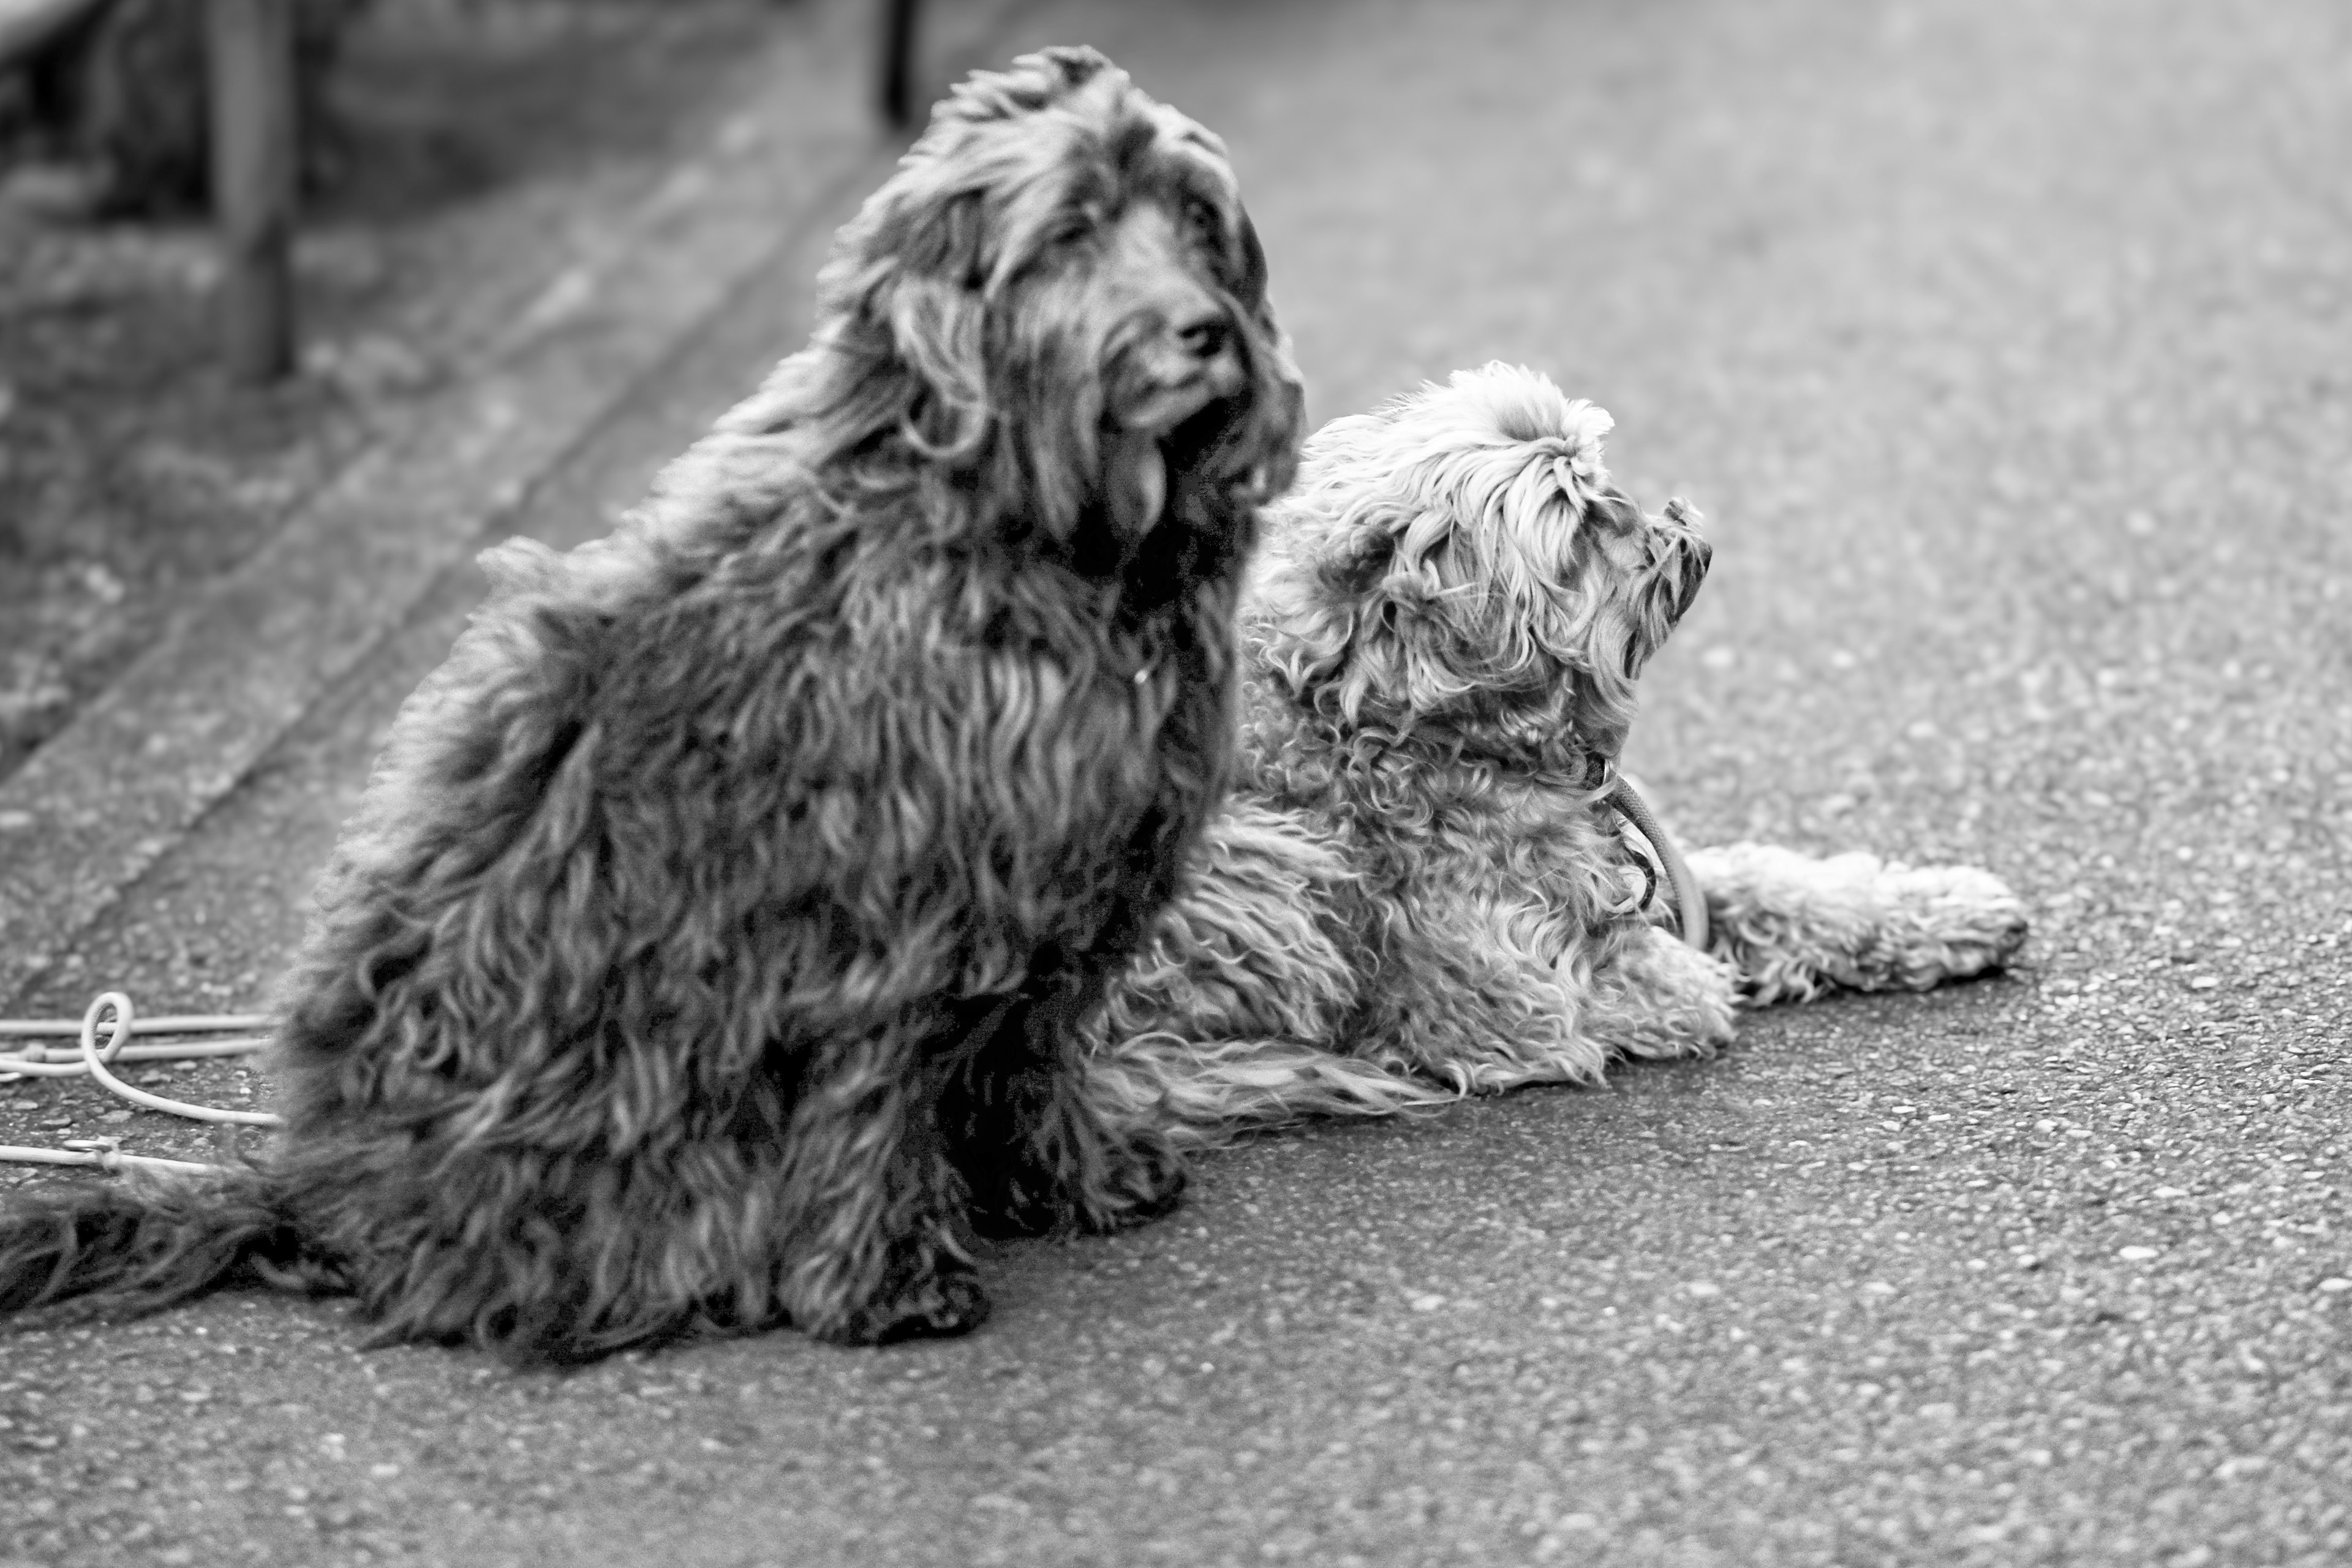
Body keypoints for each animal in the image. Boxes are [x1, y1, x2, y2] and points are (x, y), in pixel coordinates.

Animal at [0, 49, 1308, 1363]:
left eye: (1197, 220)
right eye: (1073, 231)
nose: (1203, 332)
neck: (1027, 530)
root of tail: (327, 1200)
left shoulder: (1068, 887)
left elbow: (1033, 1052)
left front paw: (1074, 1176)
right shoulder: (893, 909)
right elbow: (876, 1093)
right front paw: (884, 1277)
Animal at [1082, 369, 2022, 1142]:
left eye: (1601, 479)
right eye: (1580, 528)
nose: (1670, 521)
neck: (1403, 721)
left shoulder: (1631, 867)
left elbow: (1783, 887)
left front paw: (1946, 911)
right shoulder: (1517, 997)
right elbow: (1657, 992)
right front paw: (1700, 990)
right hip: (1268, 870)